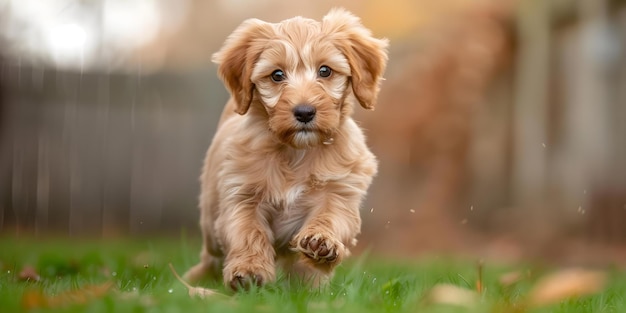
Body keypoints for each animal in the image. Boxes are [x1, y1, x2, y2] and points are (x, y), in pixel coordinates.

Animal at [185, 7, 388, 290]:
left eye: (325, 71)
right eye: (277, 75)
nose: (304, 112)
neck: (297, 151)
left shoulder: (340, 190)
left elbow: (332, 216)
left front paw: (322, 241)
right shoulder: (241, 194)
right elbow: (248, 232)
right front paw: (249, 271)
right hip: (210, 221)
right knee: (211, 255)